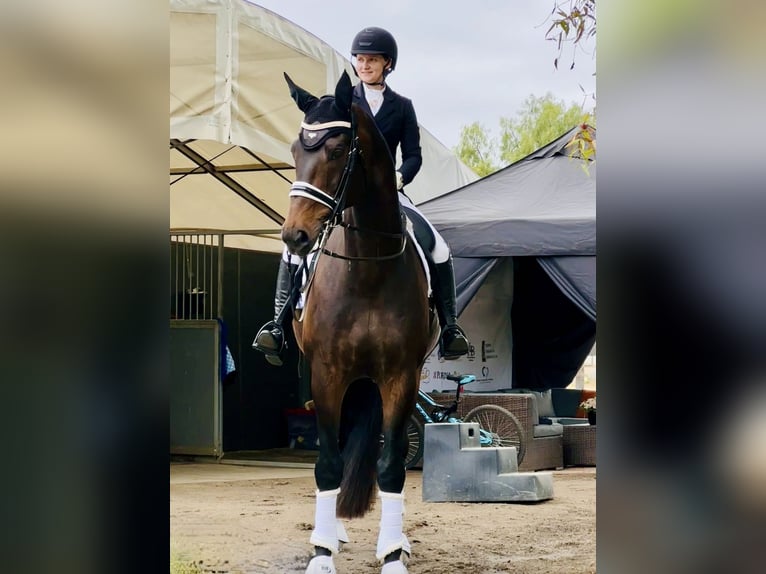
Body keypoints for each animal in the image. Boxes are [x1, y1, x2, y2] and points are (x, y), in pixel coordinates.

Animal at [280, 70, 439, 574]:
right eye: (296, 151)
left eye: (335, 150)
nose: (294, 237)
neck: (367, 267)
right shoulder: (327, 373)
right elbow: (328, 462)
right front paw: (322, 552)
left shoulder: (401, 377)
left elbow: (392, 466)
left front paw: (391, 554)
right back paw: (332, 531)